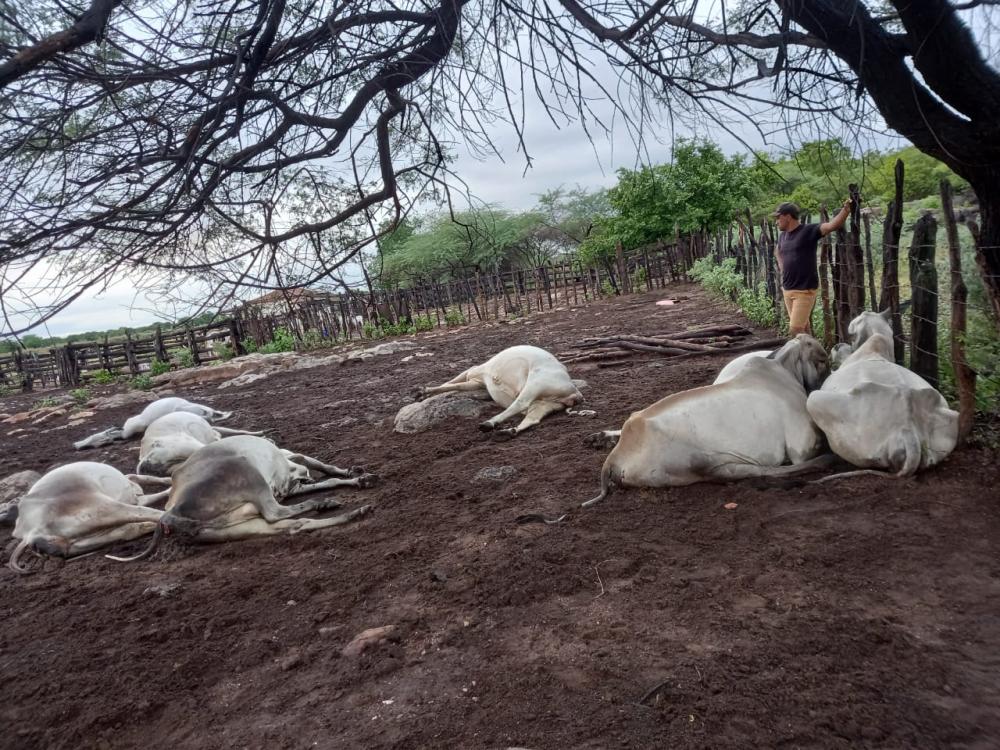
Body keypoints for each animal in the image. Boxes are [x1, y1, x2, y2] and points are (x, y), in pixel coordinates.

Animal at [109, 436, 376, 561]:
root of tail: (169, 513)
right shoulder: (289, 465)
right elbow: (318, 465)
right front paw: (354, 475)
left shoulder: (289, 486)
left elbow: (325, 478)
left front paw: (356, 478)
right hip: (245, 470)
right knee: (276, 513)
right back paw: (324, 504)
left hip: (234, 526)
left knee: (295, 524)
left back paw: (349, 510)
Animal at [415, 345, 585, 437]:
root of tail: (576, 393)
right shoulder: (477, 381)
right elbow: (458, 386)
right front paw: (423, 393)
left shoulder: (475, 372)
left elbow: (455, 382)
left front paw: (422, 391)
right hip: (545, 404)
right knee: (533, 418)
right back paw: (508, 431)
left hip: (535, 384)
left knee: (520, 404)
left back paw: (488, 424)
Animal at [583, 335, 832, 506]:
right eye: (822, 360)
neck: (785, 370)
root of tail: (616, 456)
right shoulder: (801, 446)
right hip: (706, 462)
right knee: (756, 472)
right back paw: (824, 462)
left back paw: (599, 438)